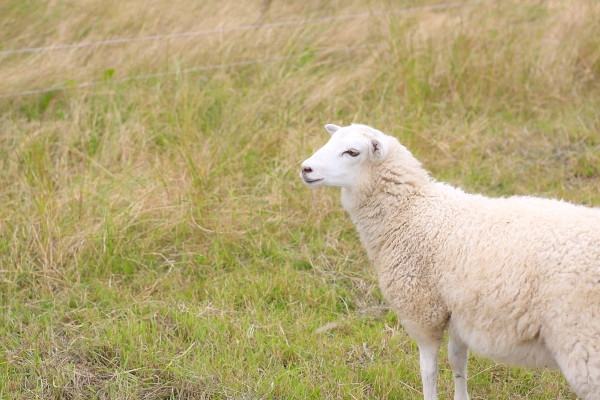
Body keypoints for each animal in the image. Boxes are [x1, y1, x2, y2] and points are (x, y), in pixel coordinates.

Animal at [298, 123, 600, 398]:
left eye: (352, 152)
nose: (305, 169)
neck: (413, 210)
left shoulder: (422, 311)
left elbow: (428, 370)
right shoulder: (458, 310)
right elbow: (458, 361)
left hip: (585, 343)